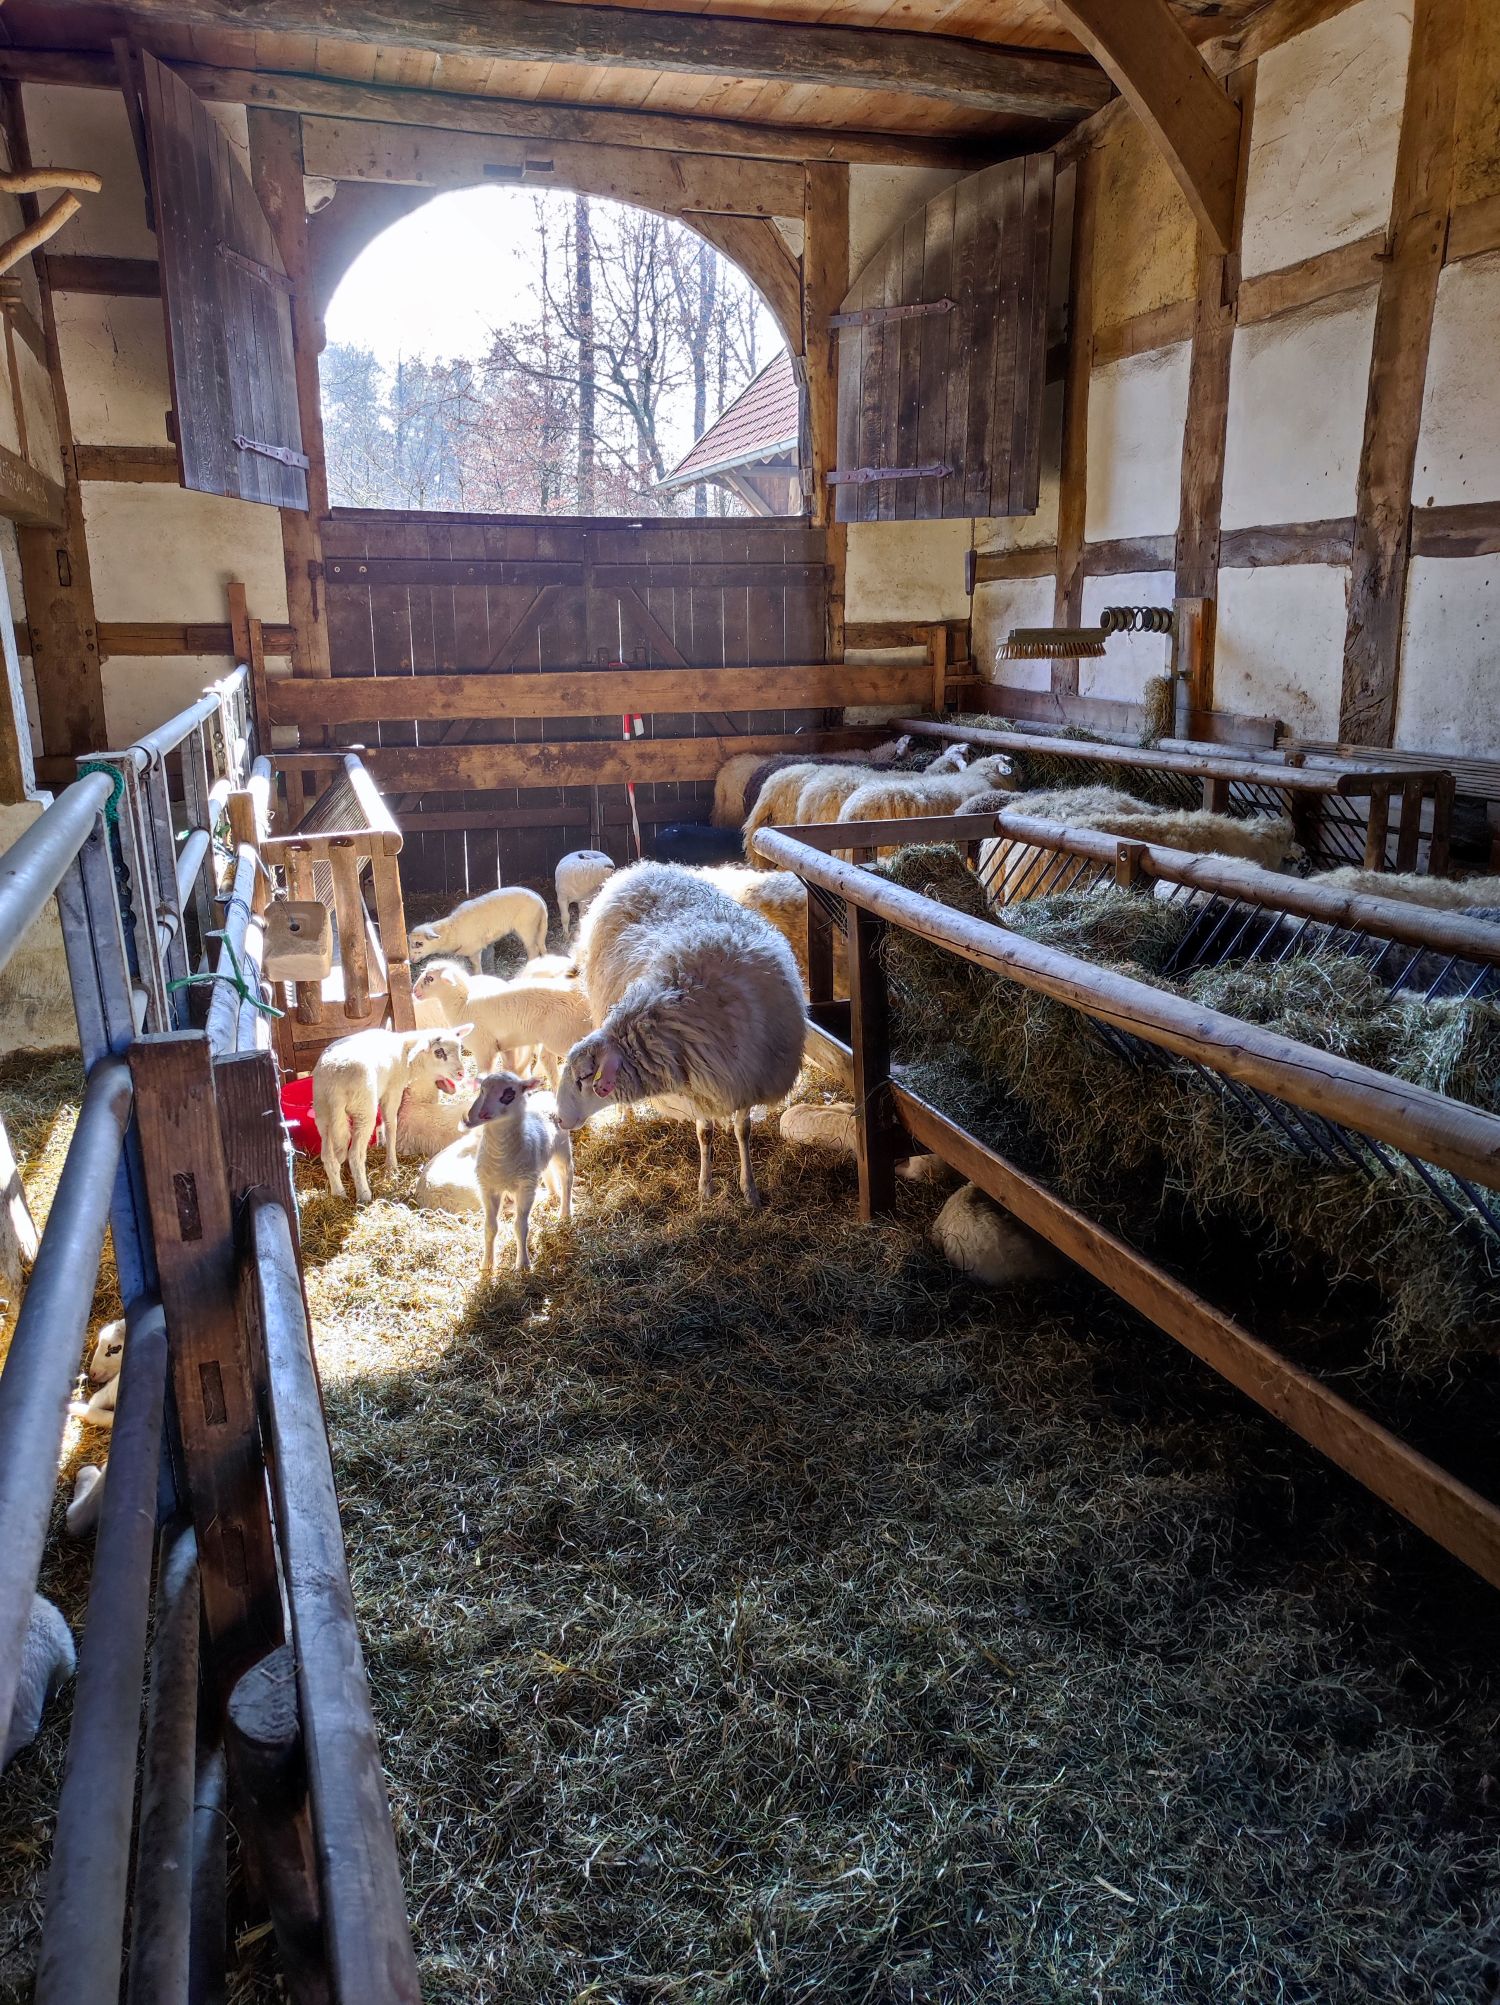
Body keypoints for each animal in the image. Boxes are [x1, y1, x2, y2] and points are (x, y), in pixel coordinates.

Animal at [313, 1025, 471, 1203]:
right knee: (354, 1155)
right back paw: (364, 1195)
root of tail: (335, 1081)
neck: (408, 1057)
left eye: (459, 1049)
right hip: (363, 1109)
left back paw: (338, 1194)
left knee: (328, 1156)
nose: (461, 1073)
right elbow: (390, 1125)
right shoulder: (393, 1090)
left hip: (323, 1112)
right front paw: (392, 1165)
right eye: (439, 1052)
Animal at [409, 883, 549, 964]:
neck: (453, 930)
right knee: (540, 947)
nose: (411, 960)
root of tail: (540, 902)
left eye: (419, 943)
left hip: (527, 927)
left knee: (533, 950)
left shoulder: (474, 949)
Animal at [413, 959, 593, 1084]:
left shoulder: (484, 1050)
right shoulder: (505, 1046)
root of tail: (581, 996)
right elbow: (510, 1069)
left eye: (430, 978)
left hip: (563, 1037)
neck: (463, 1004)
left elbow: (483, 1076)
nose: (414, 991)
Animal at [463, 1071, 573, 1276]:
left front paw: (523, 1265)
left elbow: (520, 1226)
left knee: (566, 1177)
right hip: (540, 1159)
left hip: (562, 1147)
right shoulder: (488, 1187)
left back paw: (565, 1214)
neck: (501, 1155)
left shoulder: (525, 1187)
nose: (482, 1114)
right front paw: (487, 1266)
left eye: (509, 1094)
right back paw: (553, 1197)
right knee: (548, 1173)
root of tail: (545, 1093)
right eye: (482, 1090)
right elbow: (490, 1227)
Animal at [557, 862, 806, 1207]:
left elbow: (743, 1130)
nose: (558, 1120)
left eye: (583, 1078)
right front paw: (706, 1188)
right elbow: (705, 1133)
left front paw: (749, 1189)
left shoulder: (746, 1077)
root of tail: (638, 870)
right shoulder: (696, 1081)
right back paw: (625, 1115)